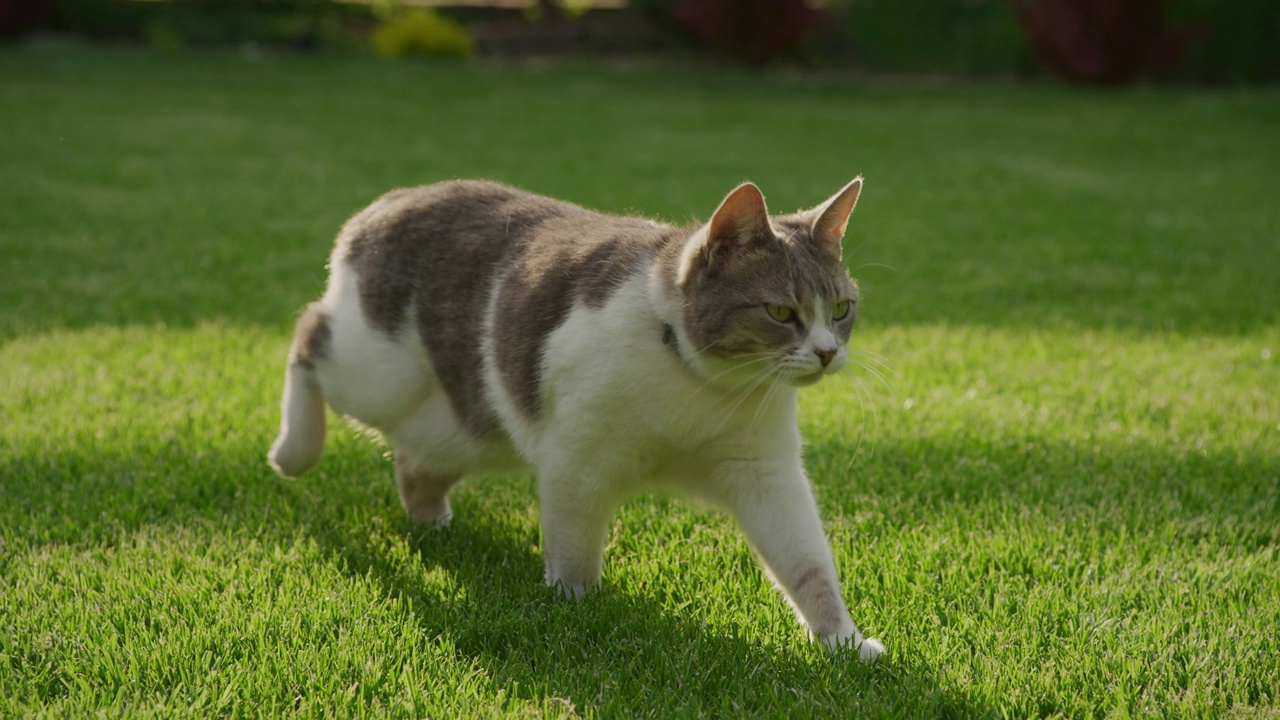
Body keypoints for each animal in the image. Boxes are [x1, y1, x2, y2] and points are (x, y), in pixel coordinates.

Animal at [264, 176, 885, 661]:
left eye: (841, 308)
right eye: (780, 312)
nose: (827, 352)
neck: (697, 385)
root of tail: (388, 201)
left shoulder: (762, 469)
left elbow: (806, 561)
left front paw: (845, 643)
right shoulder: (577, 460)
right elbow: (576, 546)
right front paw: (574, 606)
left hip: (465, 427)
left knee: (416, 462)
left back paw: (434, 523)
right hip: (380, 376)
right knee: (309, 333)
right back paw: (292, 451)